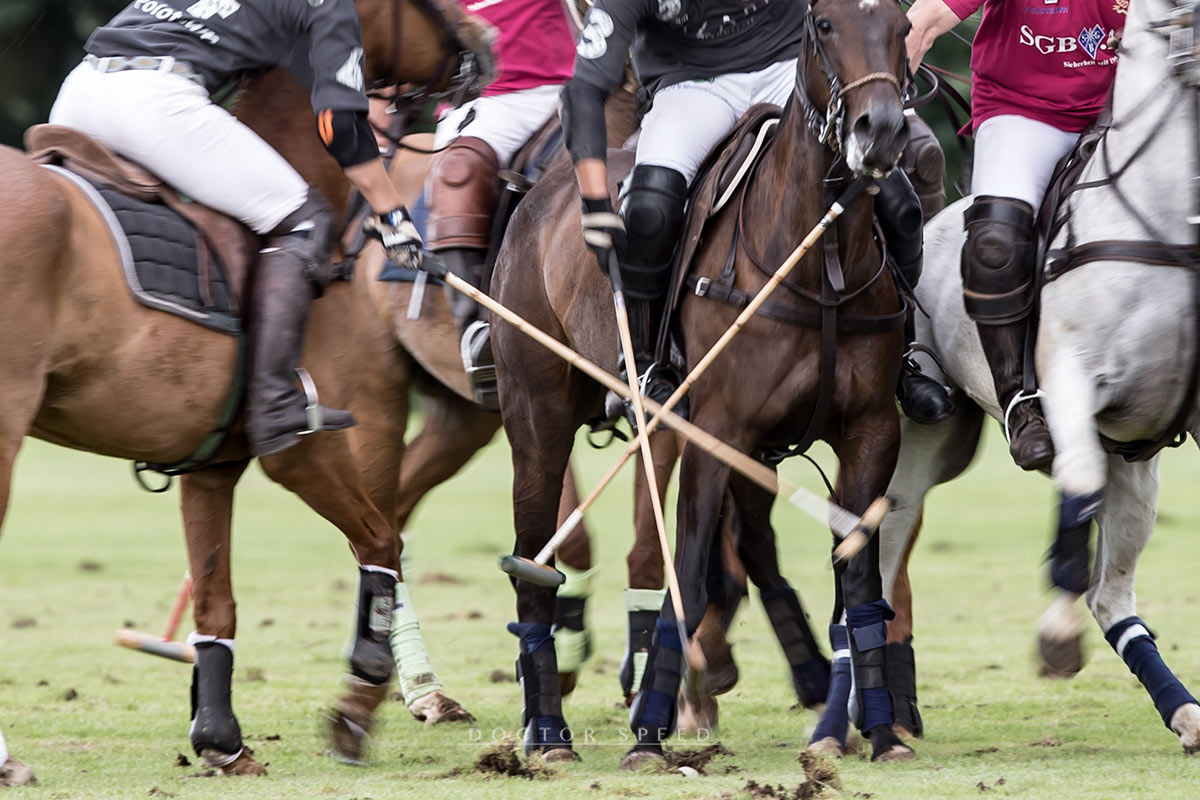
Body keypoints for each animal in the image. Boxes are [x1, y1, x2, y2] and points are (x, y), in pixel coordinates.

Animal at [0, 0, 492, 777]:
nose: (488, 43)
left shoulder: (211, 466)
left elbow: (216, 605)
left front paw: (222, 743)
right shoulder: (300, 448)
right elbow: (381, 542)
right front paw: (355, 710)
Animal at [492, 0, 912, 767]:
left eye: (900, 26)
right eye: (825, 25)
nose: (883, 131)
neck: (819, 260)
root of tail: (541, 192)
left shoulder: (872, 429)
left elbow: (857, 571)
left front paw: (880, 729)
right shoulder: (717, 430)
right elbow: (684, 565)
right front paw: (650, 731)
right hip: (535, 415)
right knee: (533, 562)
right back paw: (548, 731)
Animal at [878, 0, 1200, 753]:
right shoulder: (1072, 378)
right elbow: (1074, 484)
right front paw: (1055, 637)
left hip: (1137, 468)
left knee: (1113, 596)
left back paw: (1184, 711)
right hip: (915, 432)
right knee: (885, 538)